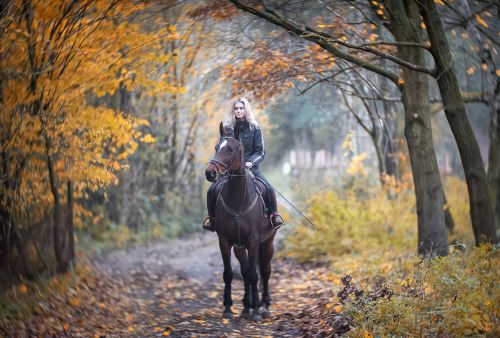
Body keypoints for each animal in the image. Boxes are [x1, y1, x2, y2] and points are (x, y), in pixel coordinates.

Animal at [204, 122, 278, 322]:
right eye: (216, 147)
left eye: (231, 149)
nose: (210, 173)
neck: (237, 200)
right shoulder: (225, 241)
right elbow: (229, 274)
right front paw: (229, 308)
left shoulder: (253, 241)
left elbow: (254, 275)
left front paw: (257, 311)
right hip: (239, 247)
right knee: (245, 272)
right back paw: (246, 307)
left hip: (267, 242)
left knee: (265, 271)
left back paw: (264, 305)